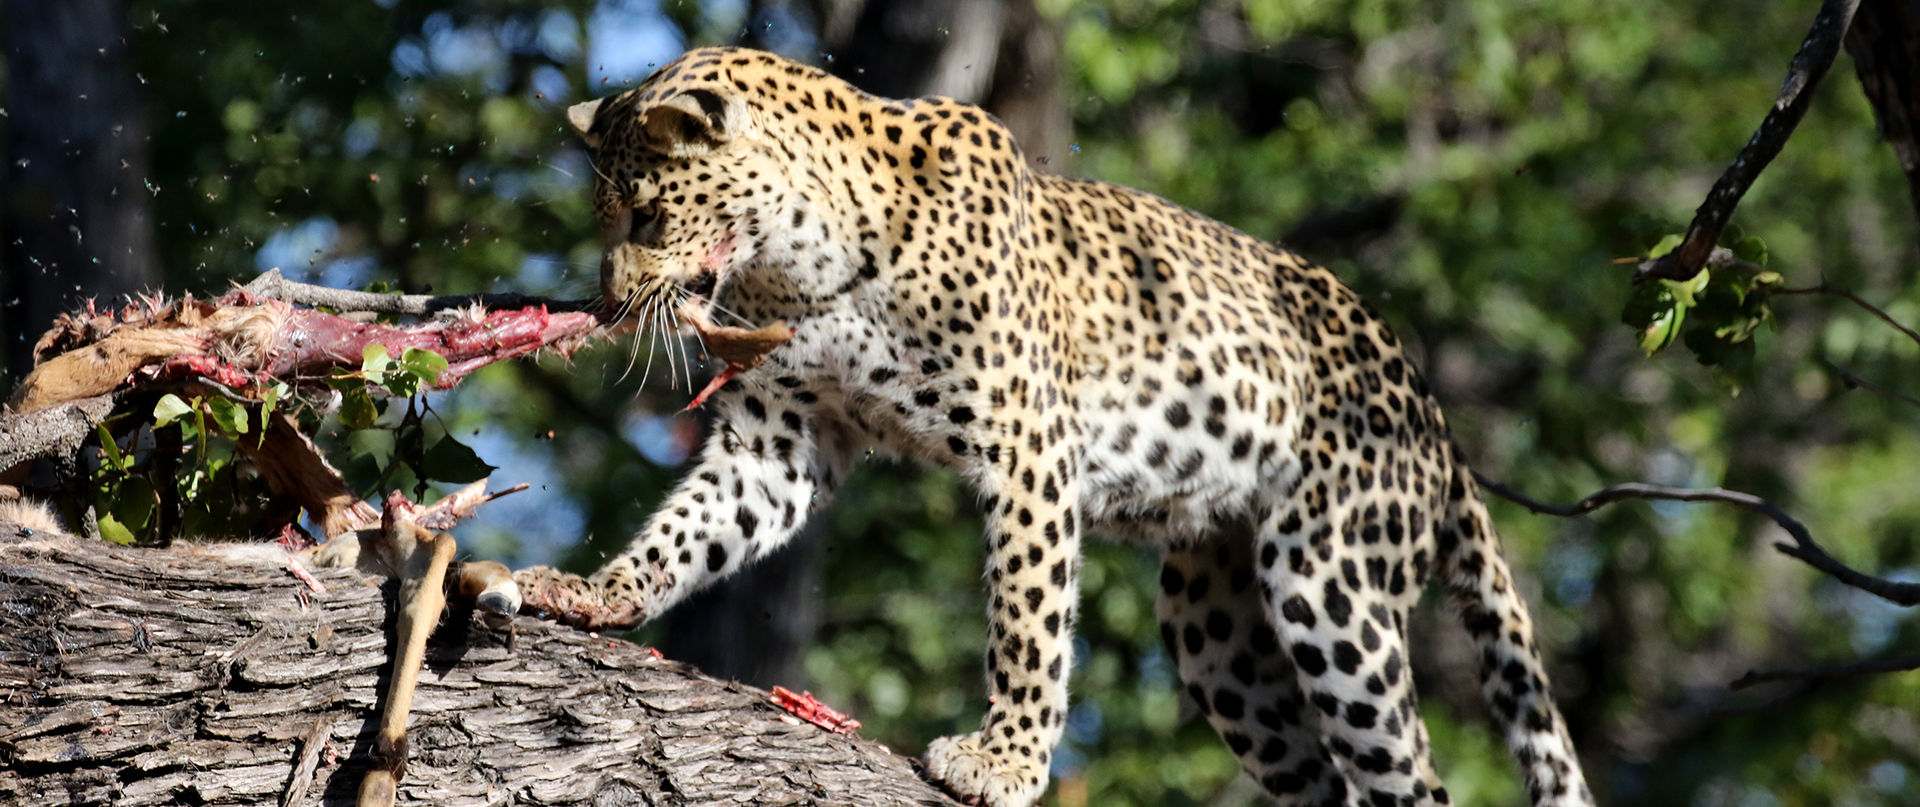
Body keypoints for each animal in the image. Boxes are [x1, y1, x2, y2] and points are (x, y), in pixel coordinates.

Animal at [514, 45, 1589, 807]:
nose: (609, 306)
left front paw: (1005, 761)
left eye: (645, 219)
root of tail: (1432, 412)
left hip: (1330, 582)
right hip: (1213, 631)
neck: (805, 259)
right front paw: (595, 591)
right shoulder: (780, 440)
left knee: (1413, 775)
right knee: (1321, 773)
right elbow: (689, 528)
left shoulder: (1028, 446)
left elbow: (1026, 617)